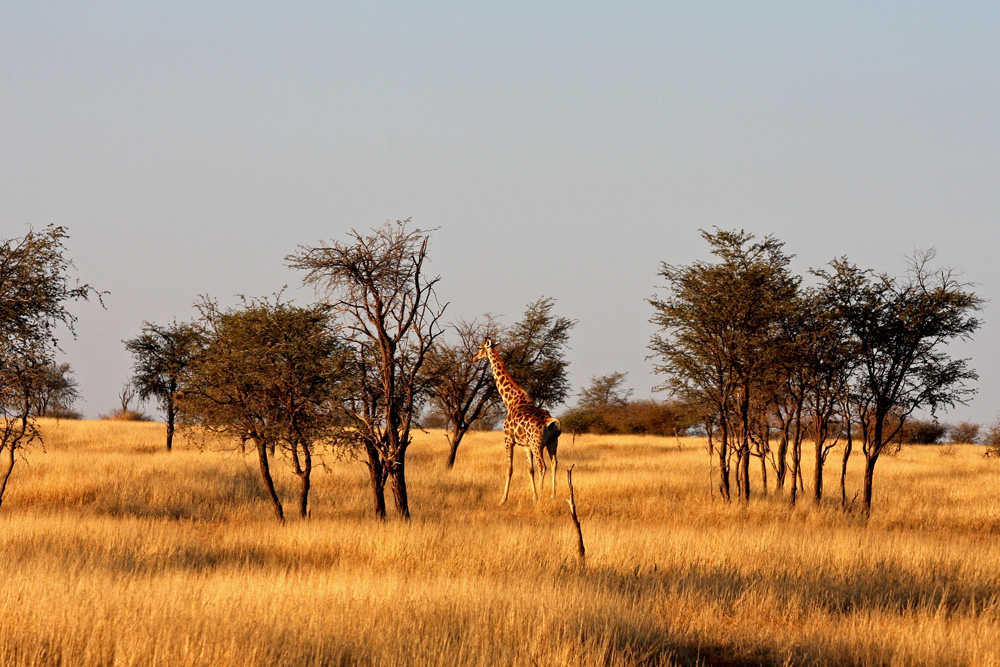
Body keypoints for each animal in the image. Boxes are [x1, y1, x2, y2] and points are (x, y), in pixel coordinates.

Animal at [472, 336, 560, 504]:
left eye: (480, 347)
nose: (474, 358)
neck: (510, 401)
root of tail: (550, 421)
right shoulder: (525, 445)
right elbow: (529, 469)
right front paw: (533, 496)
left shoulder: (508, 439)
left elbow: (509, 468)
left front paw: (503, 499)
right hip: (552, 443)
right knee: (554, 464)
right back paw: (552, 495)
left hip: (537, 444)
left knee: (543, 466)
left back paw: (543, 495)